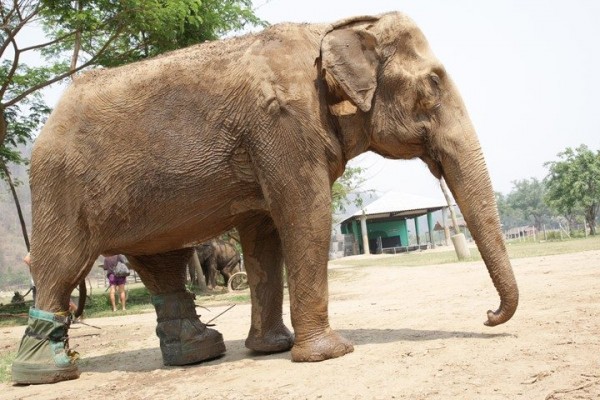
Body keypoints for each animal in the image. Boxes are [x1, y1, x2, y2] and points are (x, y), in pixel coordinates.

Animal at [11, 10, 520, 384]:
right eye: (433, 84)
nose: (487, 315)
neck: (331, 27)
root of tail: (50, 120)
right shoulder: (284, 126)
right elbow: (305, 214)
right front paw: (329, 354)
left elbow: (263, 234)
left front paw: (272, 349)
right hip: (61, 184)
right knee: (62, 262)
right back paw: (47, 372)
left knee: (161, 262)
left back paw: (199, 351)